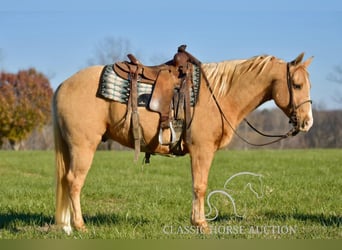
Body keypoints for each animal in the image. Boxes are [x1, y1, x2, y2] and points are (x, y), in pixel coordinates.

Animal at [52, 51, 312, 233]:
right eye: (297, 85)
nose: (308, 122)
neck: (218, 95)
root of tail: (62, 86)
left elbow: (197, 185)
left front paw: (196, 222)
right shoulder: (202, 150)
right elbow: (200, 185)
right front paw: (201, 224)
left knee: (66, 181)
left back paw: (66, 225)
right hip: (83, 147)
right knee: (74, 182)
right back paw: (79, 226)